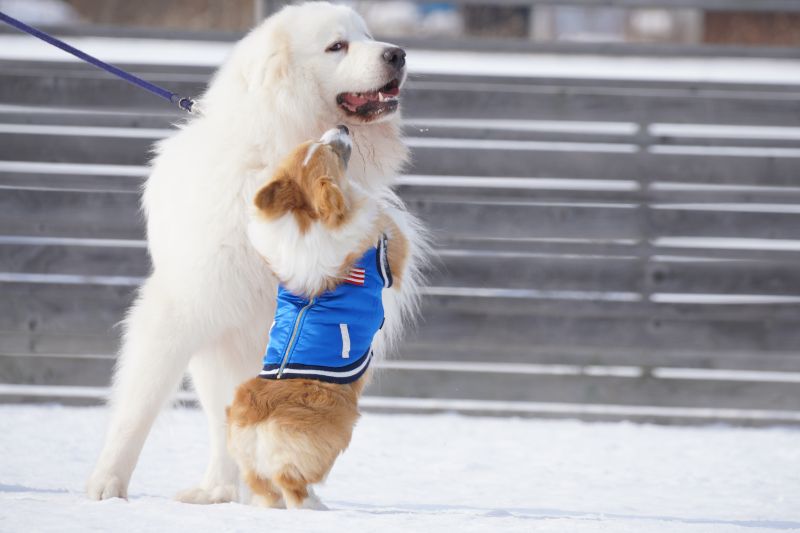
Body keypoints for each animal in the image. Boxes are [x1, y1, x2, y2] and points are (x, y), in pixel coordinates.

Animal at [228, 127, 410, 510]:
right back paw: (314, 507)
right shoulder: (390, 257)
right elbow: (385, 222)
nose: (341, 129)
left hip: (249, 465)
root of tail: (258, 420)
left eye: (313, 143)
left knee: (266, 489)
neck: (307, 220)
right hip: (336, 427)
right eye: (333, 153)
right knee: (292, 484)